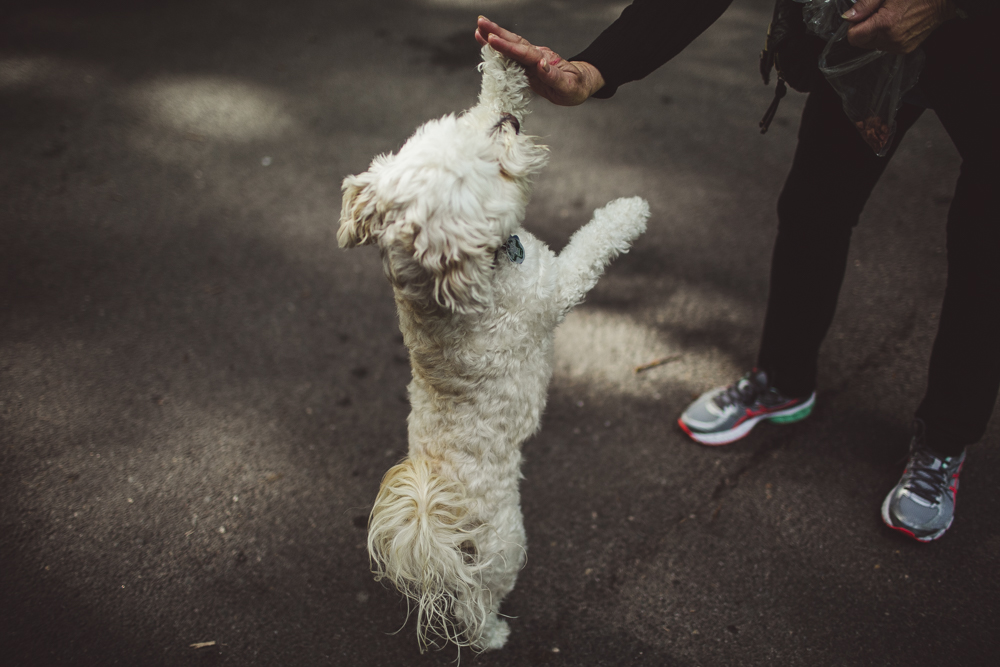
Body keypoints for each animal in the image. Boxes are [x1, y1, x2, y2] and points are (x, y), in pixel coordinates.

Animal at [336, 45, 648, 652]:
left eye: (462, 129)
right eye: (488, 169)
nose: (507, 123)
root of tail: (432, 513)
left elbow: (493, 81)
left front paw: (502, 59)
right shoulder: (554, 293)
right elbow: (592, 243)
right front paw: (630, 210)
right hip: (504, 546)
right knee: (474, 598)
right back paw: (492, 634)